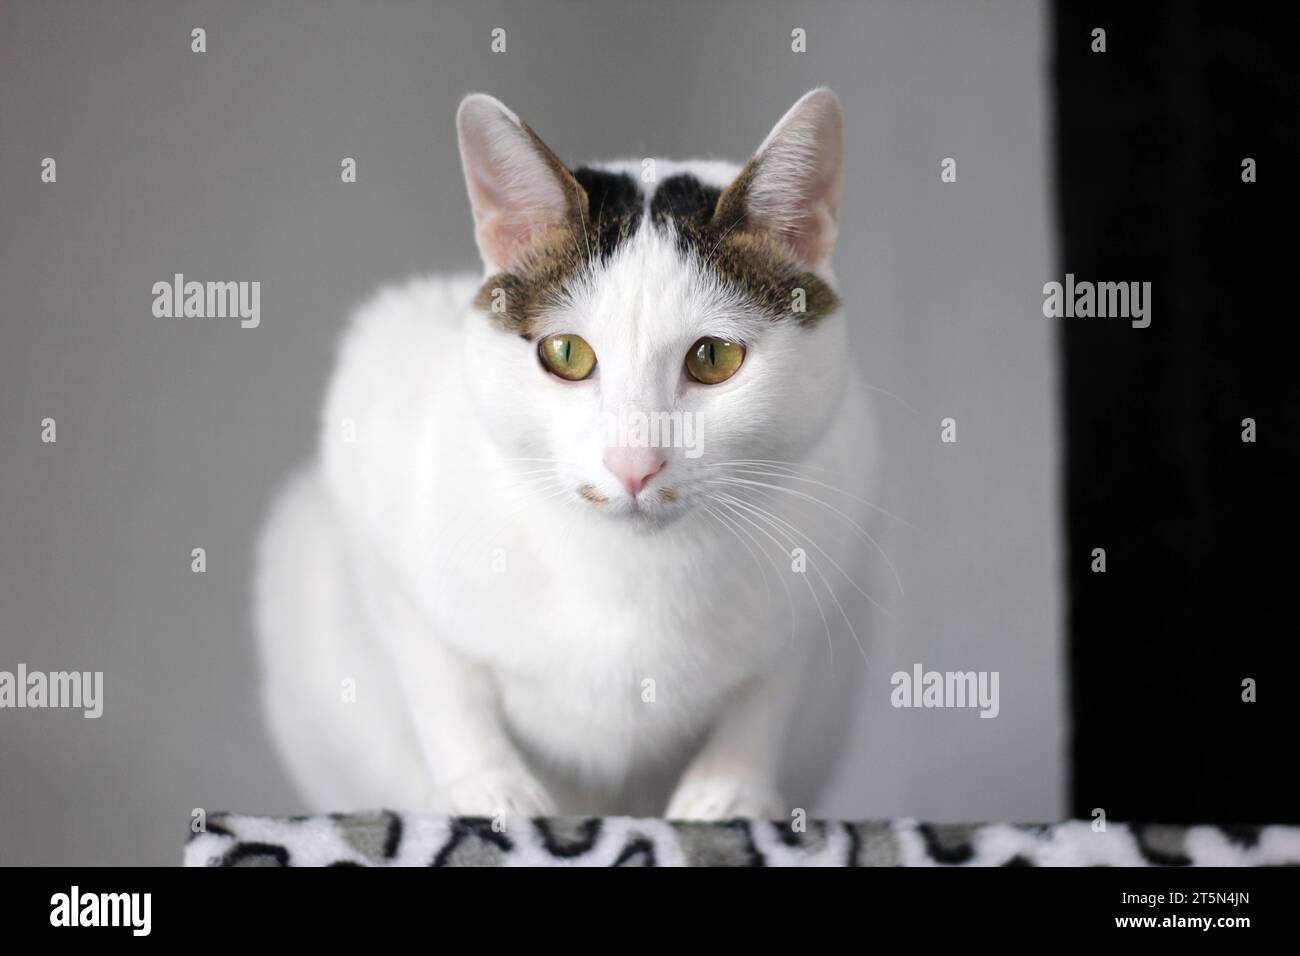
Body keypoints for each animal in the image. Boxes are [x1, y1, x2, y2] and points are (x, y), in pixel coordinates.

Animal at [254, 91, 878, 822]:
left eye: (714, 357)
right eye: (567, 353)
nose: (634, 463)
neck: (629, 575)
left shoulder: (830, 546)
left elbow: (767, 696)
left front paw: (727, 795)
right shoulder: (370, 446)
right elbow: (439, 677)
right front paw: (488, 788)